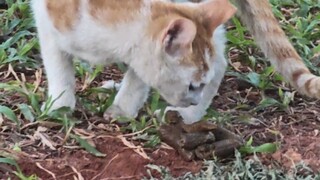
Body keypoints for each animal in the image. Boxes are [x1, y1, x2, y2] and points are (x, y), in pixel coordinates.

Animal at [32, 0, 320, 124]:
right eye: (192, 85)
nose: (193, 101)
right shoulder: (46, 20)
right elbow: (59, 68)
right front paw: (60, 107)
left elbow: (138, 78)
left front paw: (122, 110)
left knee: (221, 60)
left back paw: (186, 117)